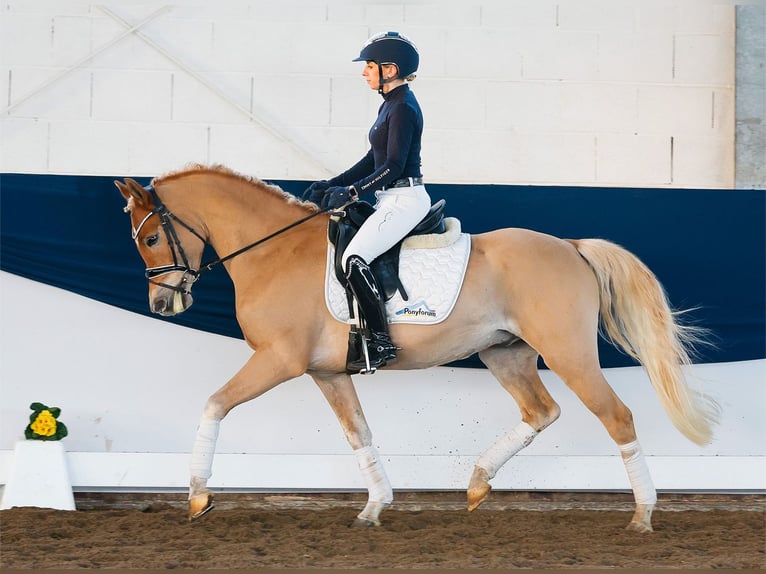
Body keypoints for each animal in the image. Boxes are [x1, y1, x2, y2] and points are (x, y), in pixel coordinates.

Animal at [115, 164, 720, 532]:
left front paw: (197, 496)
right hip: (506, 352)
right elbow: (359, 434)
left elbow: (215, 403)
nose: (163, 305)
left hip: (568, 353)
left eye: (152, 238)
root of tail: (570, 247)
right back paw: (477, 485)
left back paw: (642, 515)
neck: (274, 253)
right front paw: (375, 506)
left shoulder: (278, 361)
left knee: (617, 417)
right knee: (541, 410)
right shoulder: (328, 373)